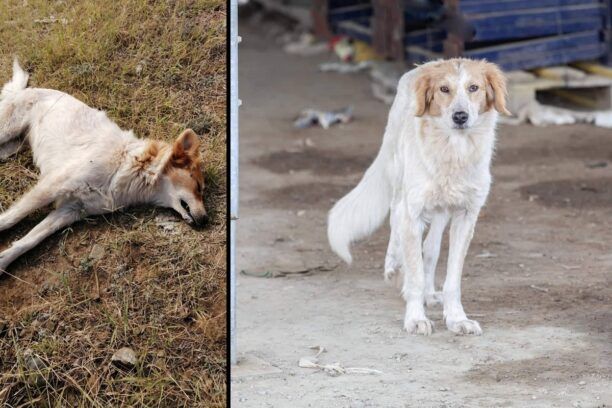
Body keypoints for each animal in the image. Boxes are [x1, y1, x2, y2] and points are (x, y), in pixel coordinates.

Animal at [0, 59, 208, 272]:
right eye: (198, 187)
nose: (206, 221)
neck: (128, 166)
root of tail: (23, 90)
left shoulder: (72, 210)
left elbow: (30, 239)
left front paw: (3, 261)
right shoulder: (53, 185)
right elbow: (12, 218)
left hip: (12, 147)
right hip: (6, 131)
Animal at [328, 59, 510, 336]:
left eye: (474, 87)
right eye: (444, 89)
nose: (460, 116)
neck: (453, 151)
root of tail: (425, 64)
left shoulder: (466, 215)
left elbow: (451, 279)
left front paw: (457, 318)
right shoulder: (412, 212)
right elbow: (413, 274)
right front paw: (415, 318)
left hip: (441, 209)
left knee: (430, 248)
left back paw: (429, 291)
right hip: (399, 181)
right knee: (395, 218)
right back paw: (393, 263)